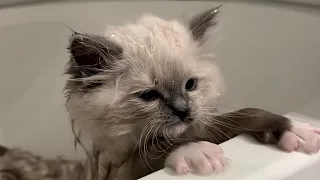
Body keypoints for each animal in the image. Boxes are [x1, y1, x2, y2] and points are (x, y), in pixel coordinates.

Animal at [0, 5, 320, 180]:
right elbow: (157, 149)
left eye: (190, 85)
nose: (183, 111)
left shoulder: (203, 124)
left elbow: (247, 113)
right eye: (149, 96)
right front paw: (197, 153)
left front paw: (296, 130)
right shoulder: (117, 169)